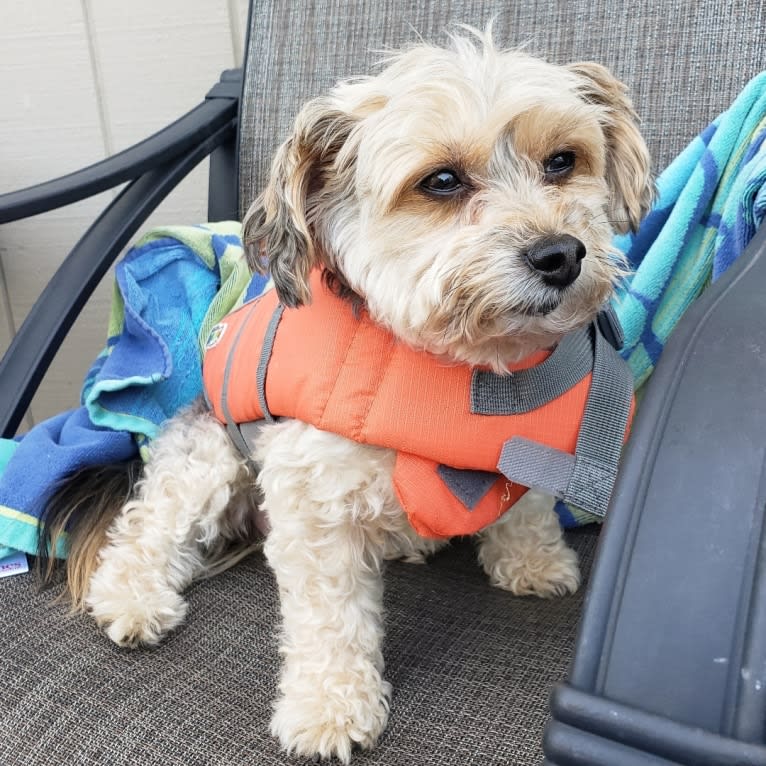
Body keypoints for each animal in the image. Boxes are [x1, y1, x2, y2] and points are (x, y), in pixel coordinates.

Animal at [40, 28, 656, 760]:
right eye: (441, 180)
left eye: (563, 161)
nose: (560, 254)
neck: (462, 367)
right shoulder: (311, 504)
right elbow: (329, 616)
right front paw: (329, 708)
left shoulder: (530, 443)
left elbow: (526, 507)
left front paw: (533, 562)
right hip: (208, 456)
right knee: (149, 526)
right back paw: (132, 600)